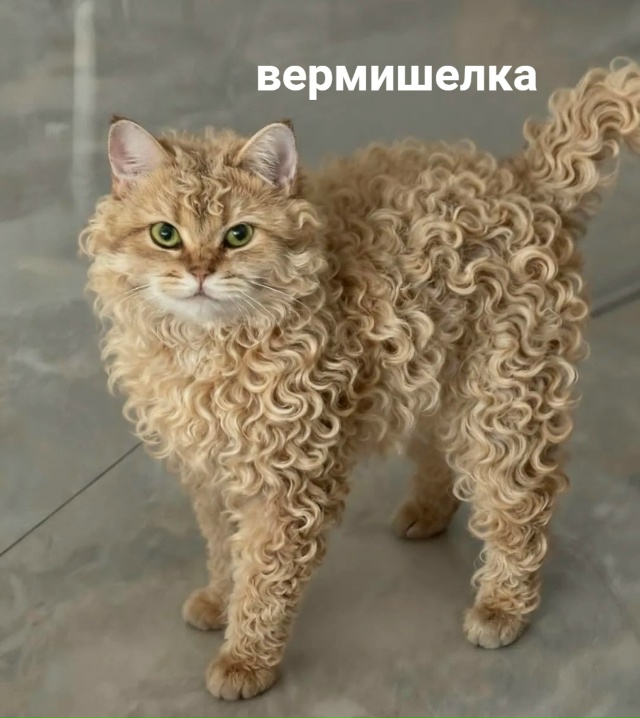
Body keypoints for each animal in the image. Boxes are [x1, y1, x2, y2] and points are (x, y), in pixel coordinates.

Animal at [80, 60, 640, 700]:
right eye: (165, 235)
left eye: (239, 235)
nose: (200, 272)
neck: (213, 347)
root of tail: (526, 181)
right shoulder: (211, 471)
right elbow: (225, 548)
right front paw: (221, 601)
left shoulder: (290, 480)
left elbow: (265, 576)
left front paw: (246, 658)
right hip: (441, 372)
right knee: (440, 448)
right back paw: (429, 511)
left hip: (502, 397)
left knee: (521, 504)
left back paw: (503, 607)